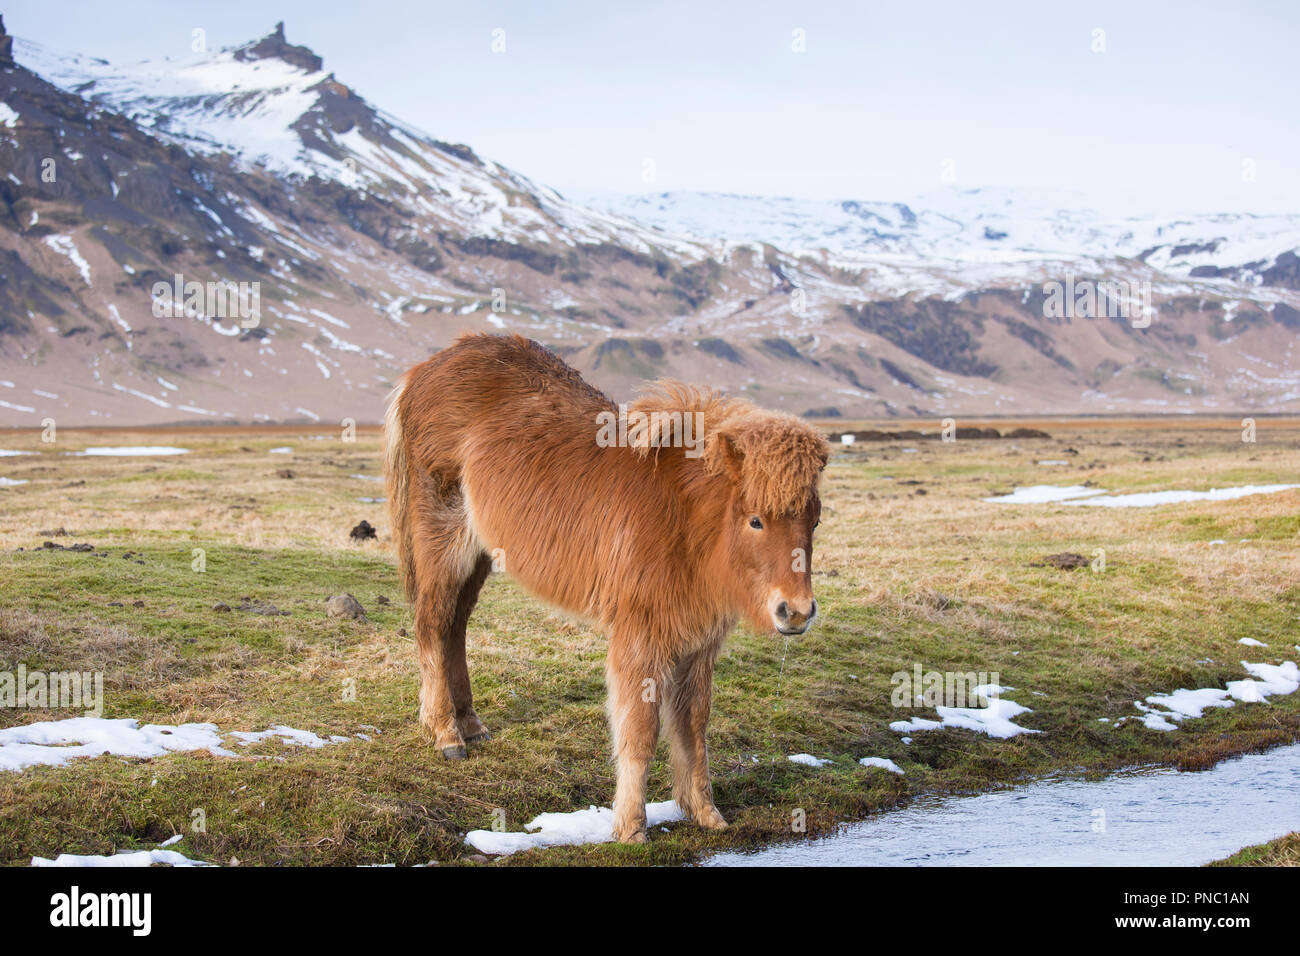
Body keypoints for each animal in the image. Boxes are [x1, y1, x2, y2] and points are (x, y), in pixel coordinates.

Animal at [384, 332, 832, 842]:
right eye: (755, 520)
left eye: (815, 521)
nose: (796, 612)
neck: (684, 518)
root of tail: (423, 371)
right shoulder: (640, 638)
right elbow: (639, 732)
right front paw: (631, 828)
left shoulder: (698, 645)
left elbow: (693, 728)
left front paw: (705, 813)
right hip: (444, 538)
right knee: (432, 623)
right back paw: (446, 734)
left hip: (479, 550)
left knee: (454, 627)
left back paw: (470, 725)